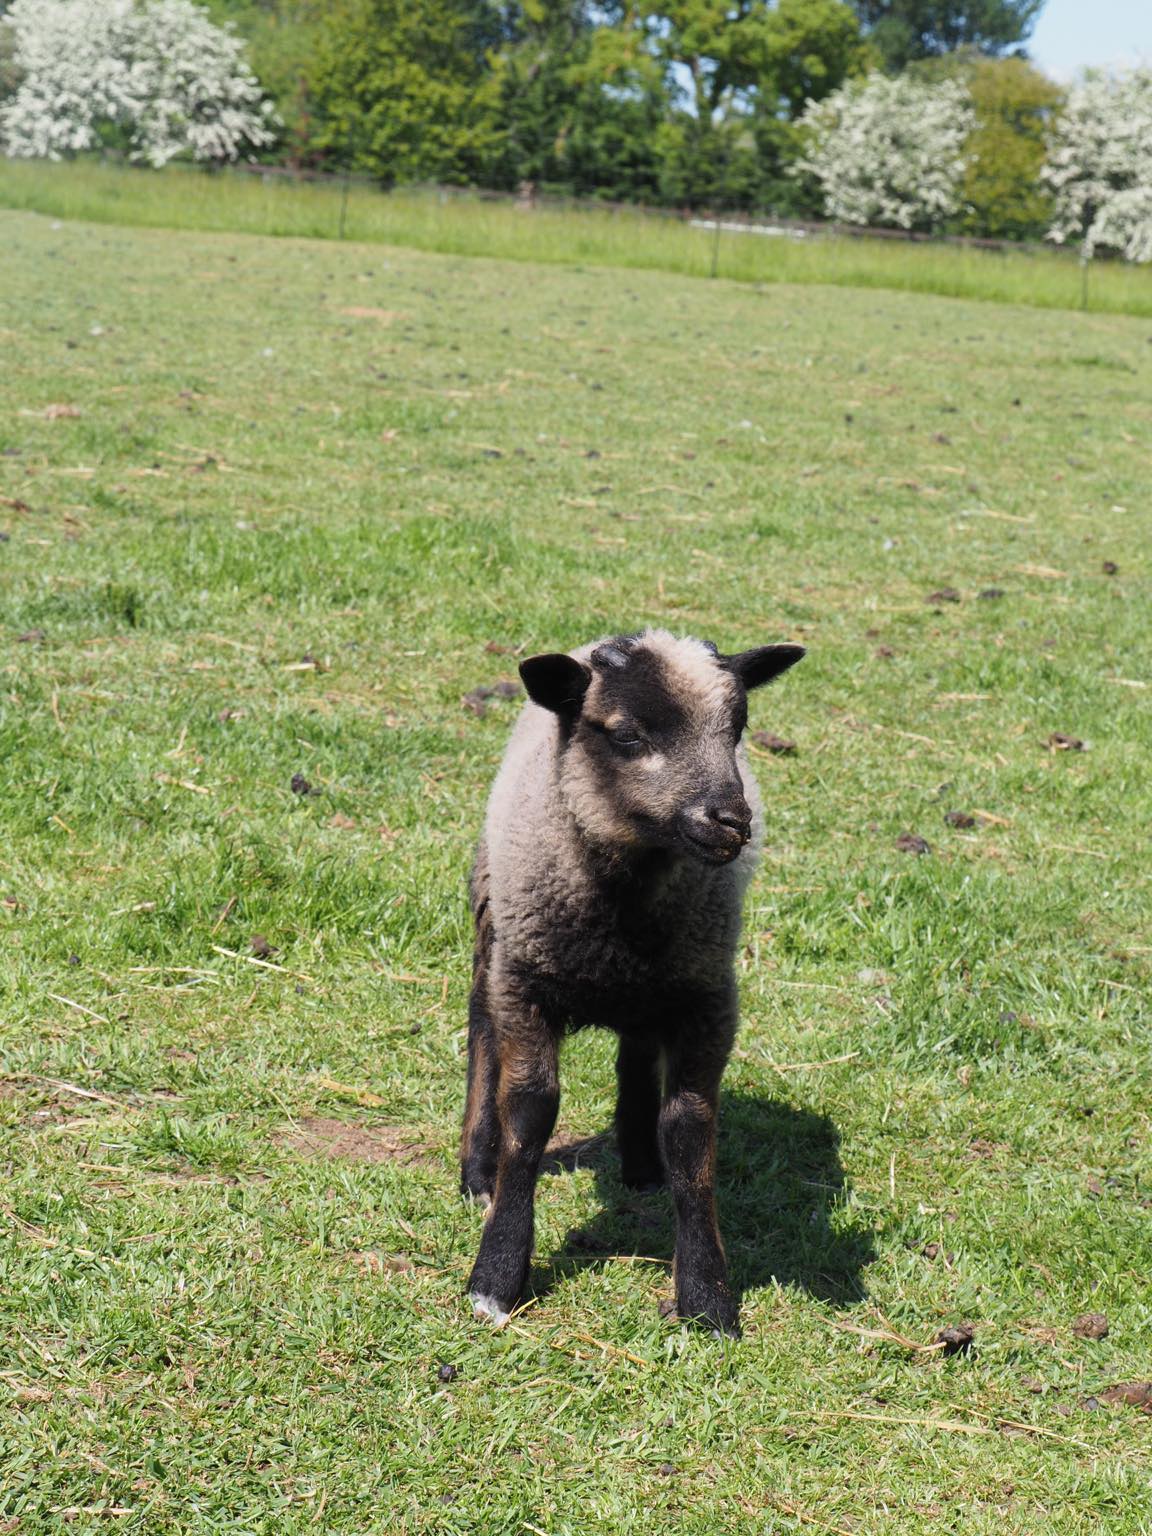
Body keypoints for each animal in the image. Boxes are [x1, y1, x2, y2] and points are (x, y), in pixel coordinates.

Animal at [460, 623, 804, 1333]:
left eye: (737, 728)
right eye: (626, 736)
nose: (732, 821)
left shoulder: (707, 999)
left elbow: (692, 1133)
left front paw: (705, 1296)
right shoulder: (526, 986)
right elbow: (528, 1116)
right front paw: (497, 1276)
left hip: (656, 989)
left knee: (635, 1055)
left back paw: (642, 1163)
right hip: (493, 924)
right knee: (481, 1027)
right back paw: (477, 1169)